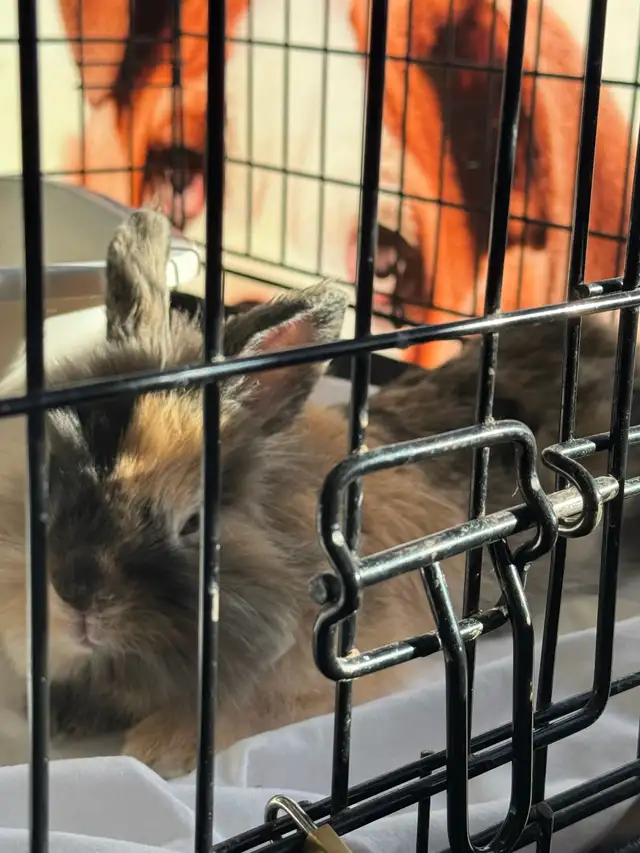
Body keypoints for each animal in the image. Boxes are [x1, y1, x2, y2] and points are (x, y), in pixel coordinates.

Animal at [0, 208, 635, 780]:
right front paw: (57, 716)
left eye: (194, 522)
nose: (76, 595)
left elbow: (244, 705)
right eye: (48, 483)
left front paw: (158, 748)